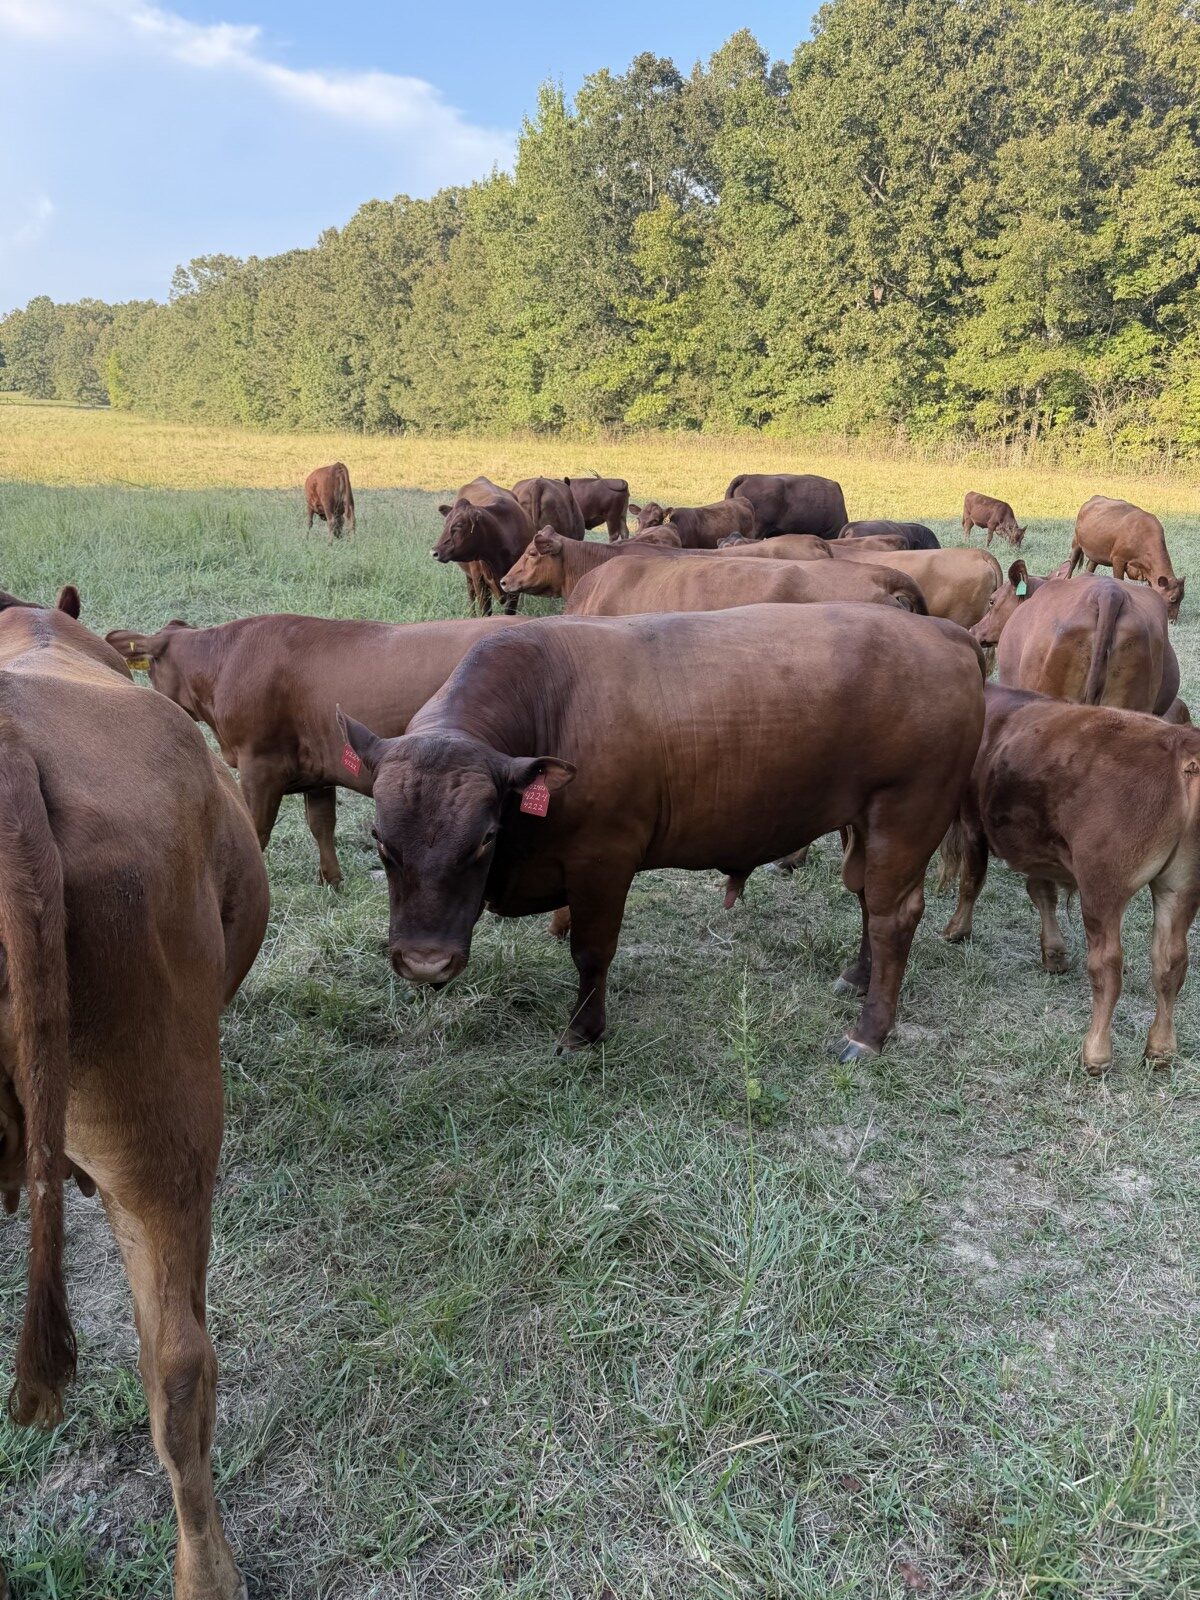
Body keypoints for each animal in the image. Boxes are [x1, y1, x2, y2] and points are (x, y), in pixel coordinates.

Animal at [105, 613, 528, 886]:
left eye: (150, 669)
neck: (226, 662)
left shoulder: (260, 764)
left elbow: (257, 831)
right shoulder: (319, 766)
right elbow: (322, 824)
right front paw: (332, 881)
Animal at [338, 604, 984, 1058]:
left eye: (485, 840)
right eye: (381, 842)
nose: (425, 964)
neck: (552, 701)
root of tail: (944, 633)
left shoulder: (604, 859)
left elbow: (592, 951)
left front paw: (584, 1030)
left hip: (906, 817)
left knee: (892, 916)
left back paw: (869, 1032)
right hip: (870, 825)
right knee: (869, 902)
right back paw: (858, 976)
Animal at [435, 477, 533, 616]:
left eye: (459, 525)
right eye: (445, 524)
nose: (434, 551)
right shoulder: (479, 581)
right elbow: (485, 612)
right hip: (469, 577)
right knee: (471, 596)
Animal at [942, 684, 1200, 1072]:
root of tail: (1180, 742)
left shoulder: (973, 823)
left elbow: (971, 880)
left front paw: (957, 930)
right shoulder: (1039, 847)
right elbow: (1041, 892)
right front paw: (1054, 954)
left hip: (1102, 884)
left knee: (1107, 965)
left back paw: (1096, 1053)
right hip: (1180, 884)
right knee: (1171, 961)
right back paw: (1160, 1050)